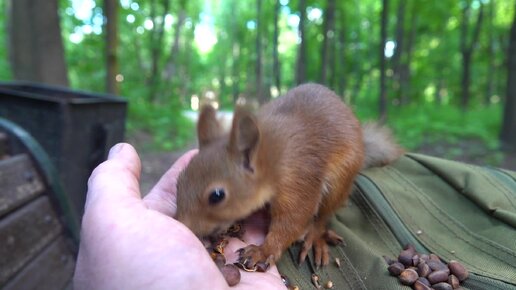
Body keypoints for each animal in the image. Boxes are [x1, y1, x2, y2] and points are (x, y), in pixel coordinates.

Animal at [175, 83, 406, 270]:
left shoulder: (299, 181)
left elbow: (293, 221)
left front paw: (263, 251)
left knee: (323, 216)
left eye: (217, 196)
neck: (271, 158)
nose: (183, 225)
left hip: (340, 181)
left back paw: (314, 236)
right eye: (179, 183)